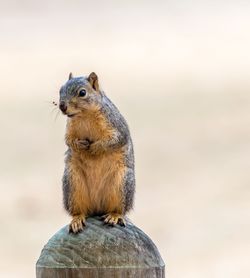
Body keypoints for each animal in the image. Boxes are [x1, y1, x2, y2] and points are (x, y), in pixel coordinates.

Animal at [58, 71, 136, 232]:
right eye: (60, 90)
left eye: (82, 93)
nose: (62, 106)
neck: (84, 115)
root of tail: (97, 207)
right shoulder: (70, 129)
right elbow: (68, 141)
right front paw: (79, 144)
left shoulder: (115, 124)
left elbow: (115, 139)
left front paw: (96, 147)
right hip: (72, 184)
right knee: (79, 210)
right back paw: (77, 219)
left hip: (122, 183)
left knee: (118, 209)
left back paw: (114, 216)